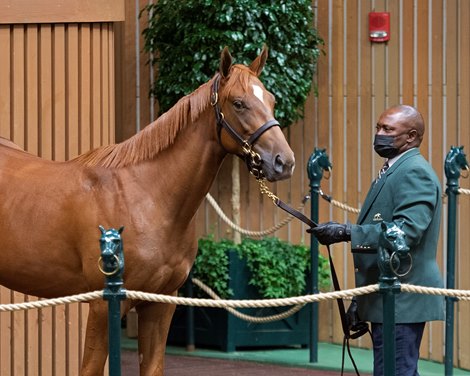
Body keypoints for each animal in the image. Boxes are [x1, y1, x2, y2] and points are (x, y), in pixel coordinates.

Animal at [0, 47, 294, 376]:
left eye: (271, 100)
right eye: (239, 103)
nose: (283, 161)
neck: (147, 196)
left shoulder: (160, 303)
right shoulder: (103, 305)